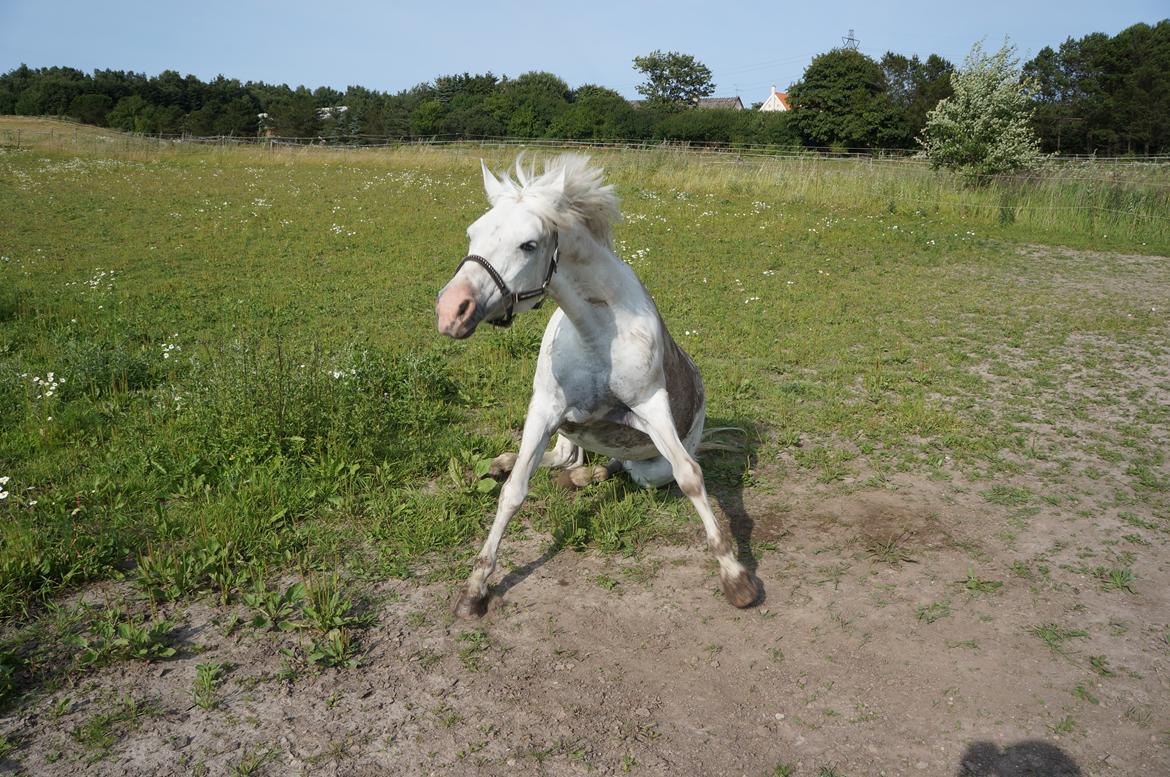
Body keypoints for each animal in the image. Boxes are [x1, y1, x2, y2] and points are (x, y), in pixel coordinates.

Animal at [432, 153, 758, 617]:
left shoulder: (652, 406)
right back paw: (514, 464)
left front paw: (736, 577)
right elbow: (514, 492)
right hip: (569, 433)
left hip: (650, 467)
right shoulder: (546, 409)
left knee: (622, 468)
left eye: (529, 244)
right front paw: (475, 589)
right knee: (563, 460)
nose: (451, 311)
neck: (596, 333)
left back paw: (584, 476)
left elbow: (691, 476)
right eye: (473, 232)